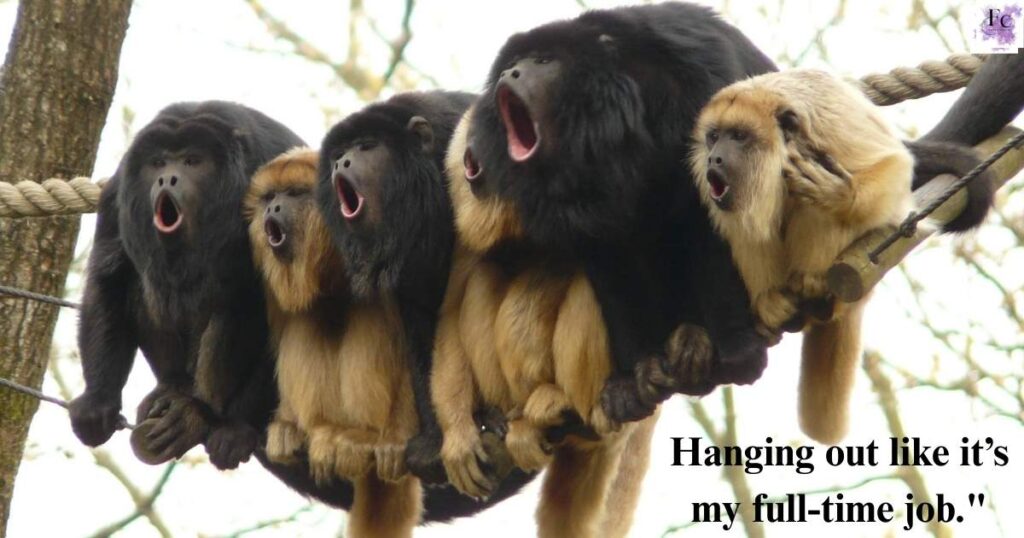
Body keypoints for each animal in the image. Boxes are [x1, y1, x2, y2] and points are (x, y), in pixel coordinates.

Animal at [246, 148, 421, 537]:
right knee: (307, 319)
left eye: (294, 194)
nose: (272, 209)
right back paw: (314, 429)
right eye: (270, 196)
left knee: (370, 314)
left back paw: (363, 437)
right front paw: (286, 423)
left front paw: (397, 440)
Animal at [691, 69, 995, 444]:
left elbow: (892, 165)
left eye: (739, 136)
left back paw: (813, 282)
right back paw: (775, 298)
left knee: (815, 208)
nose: (714, 157)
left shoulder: (830, 134)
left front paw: (841, 195)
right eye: (714, 137)